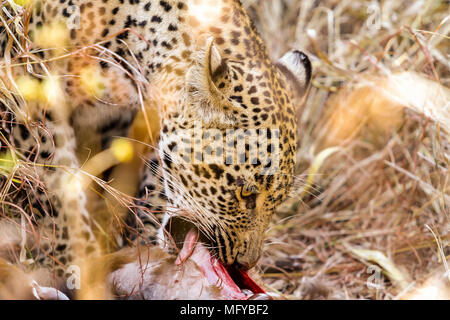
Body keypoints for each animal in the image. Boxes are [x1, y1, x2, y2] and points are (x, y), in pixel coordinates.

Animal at [0, 0, 312, 292]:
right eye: (246, 194)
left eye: (278, 201)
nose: (246, 263)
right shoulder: (31, 90)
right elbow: (55, 183)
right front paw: (77, 259)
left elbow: (151, 186)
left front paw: (144, 250)